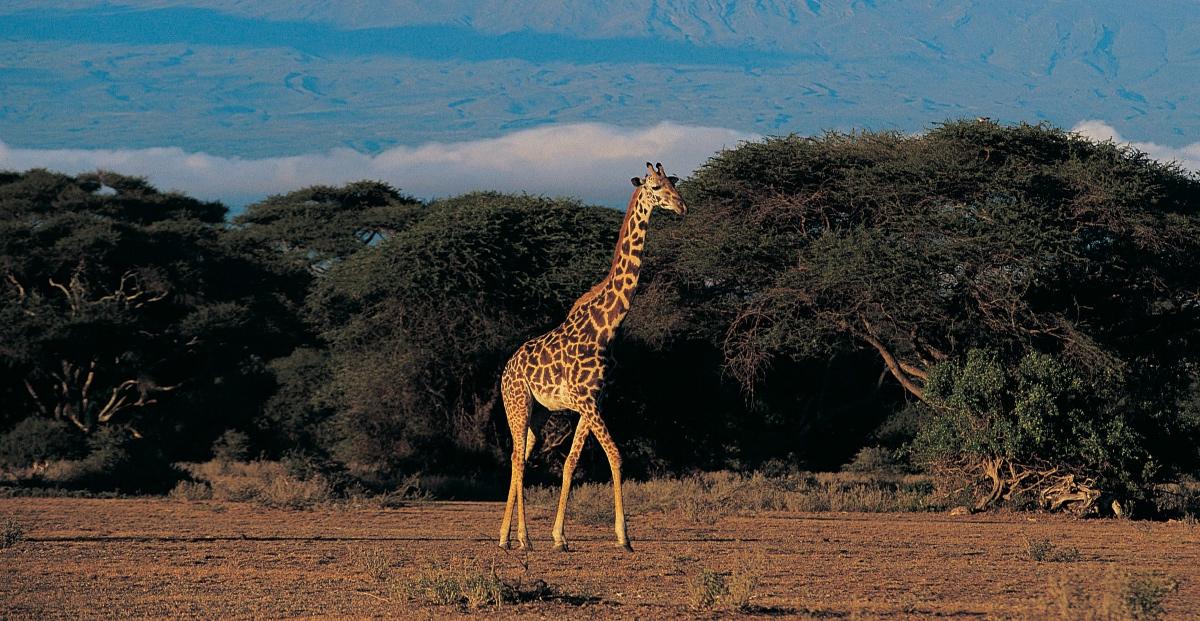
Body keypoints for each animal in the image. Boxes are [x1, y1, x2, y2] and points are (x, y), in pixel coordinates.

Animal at [496, 161, 686, 556]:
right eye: (655, 187)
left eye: (674, 183)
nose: (681, 207)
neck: (607, 325)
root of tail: (505, 371)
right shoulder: (586, 401)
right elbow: (616, 455)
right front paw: (624, 537)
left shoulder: (594, 401)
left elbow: (571, 463)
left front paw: (559, 536)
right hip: (517, 404)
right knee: (517, 460)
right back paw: (522, 538)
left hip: (538, 413)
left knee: (520, 459)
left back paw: (507, 536)